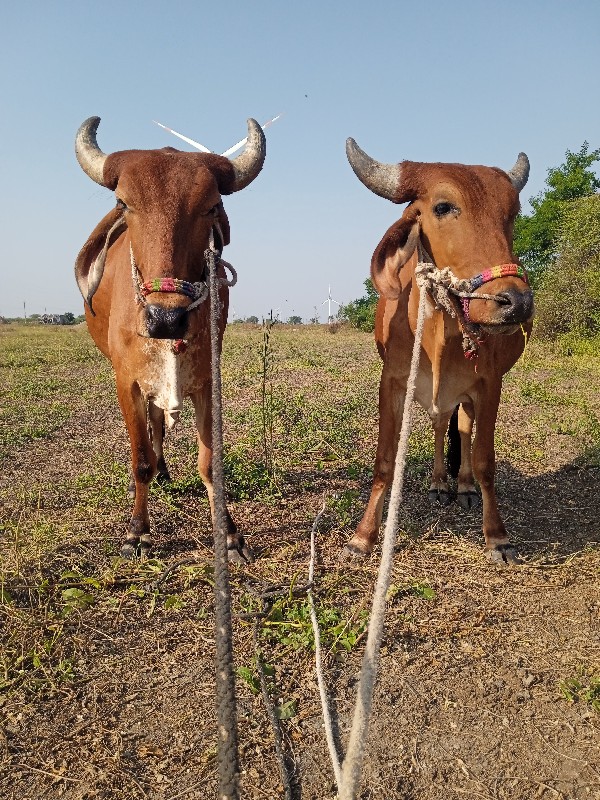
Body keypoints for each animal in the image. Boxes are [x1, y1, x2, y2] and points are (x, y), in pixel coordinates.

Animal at [73, 117, 264, 556]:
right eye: (124, 205)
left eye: (211, 206)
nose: (166, 319)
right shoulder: (127, 381)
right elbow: (139, 457)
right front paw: (138, 530)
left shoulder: (208, 379)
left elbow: (210, 462)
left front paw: (228, 532)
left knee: (159, 422)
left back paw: (164, 470)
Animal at [344, 139, 532, 564]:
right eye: (443, 207)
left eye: (512, 212)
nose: (515, 302)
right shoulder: (393, 381)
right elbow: (385, 461)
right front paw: (363, 537)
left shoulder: (489, 383)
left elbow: (484, 460)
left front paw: (497, 536)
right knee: (439, 423)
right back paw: (438, 482)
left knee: (461, 426)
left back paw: (461, 486)